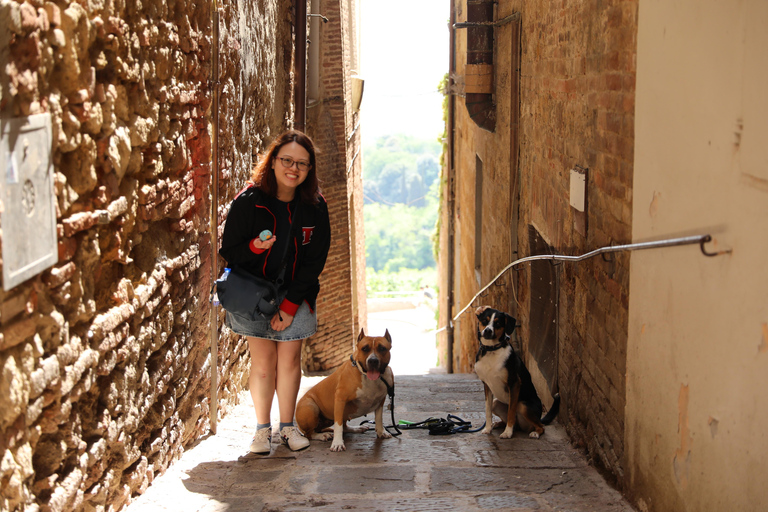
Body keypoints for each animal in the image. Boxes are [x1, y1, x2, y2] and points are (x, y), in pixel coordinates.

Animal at [472, 306, 560, 438]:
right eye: (484, 321)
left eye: (498, 323)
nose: (487, 331)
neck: (492, 350)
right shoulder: (487, 386)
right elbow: (487, 411)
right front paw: (487, 429)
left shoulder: (514, 384)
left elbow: (511, 412)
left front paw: (507, 433)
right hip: (496, 403)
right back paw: (498, 424)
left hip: (523, 405)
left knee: (541, 426)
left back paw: (535, 433)